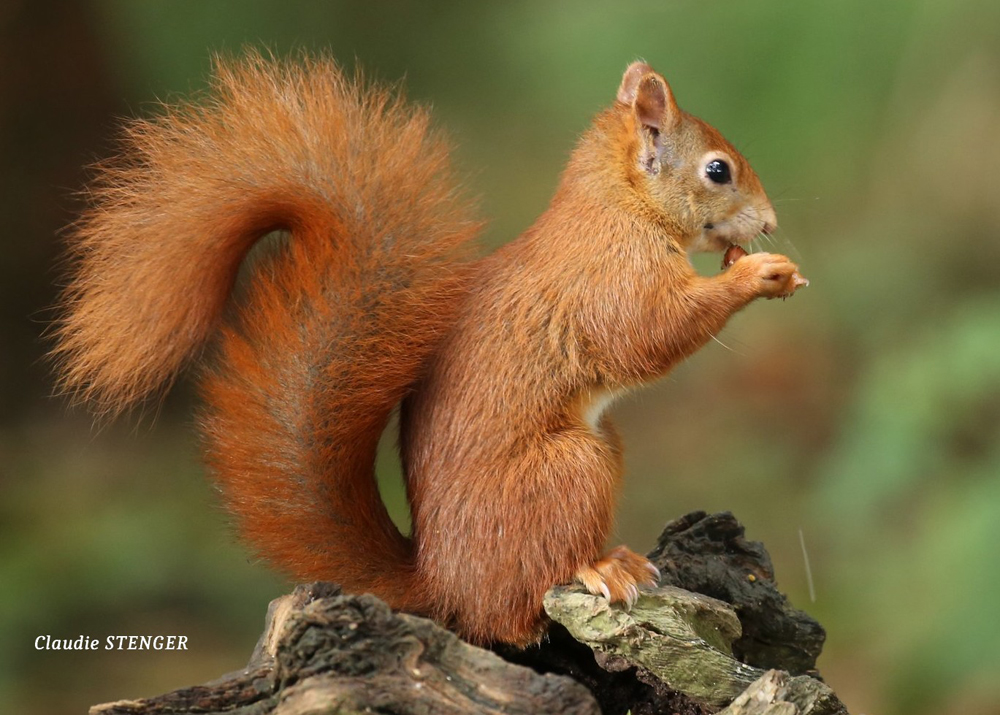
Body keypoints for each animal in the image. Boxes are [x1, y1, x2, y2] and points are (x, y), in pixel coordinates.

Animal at [52, 53, 804, 648]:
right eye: (717, 170)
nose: (770, 222)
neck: (620, 206)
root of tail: (441, 584)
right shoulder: (611, 277)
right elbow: (651, 331)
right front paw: (755, 274)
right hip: (569, 467)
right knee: (515, 609)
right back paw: (597, 568)